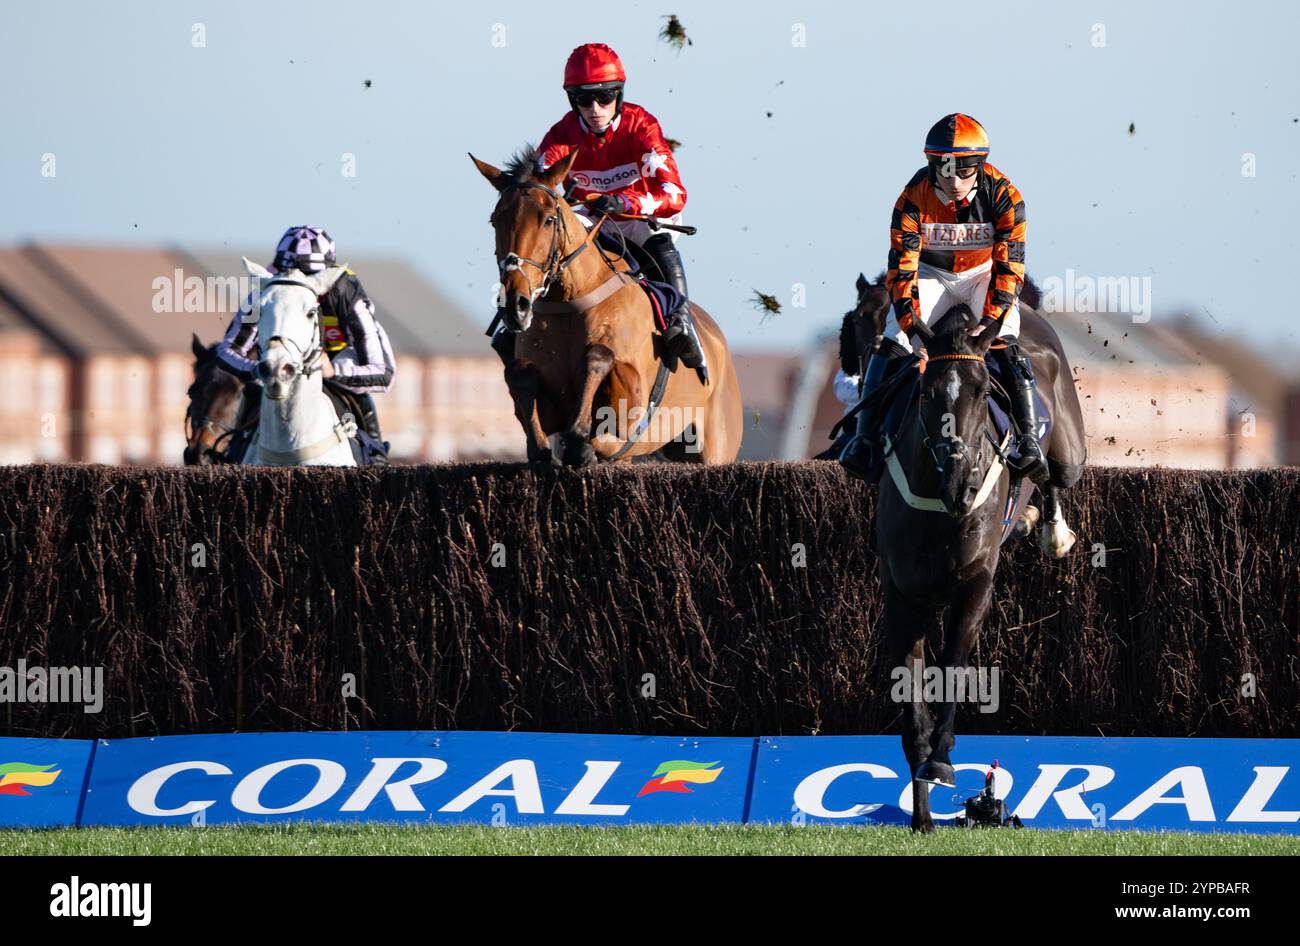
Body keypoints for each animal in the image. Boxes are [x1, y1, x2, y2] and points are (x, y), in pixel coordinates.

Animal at [475, 146, 743, 465]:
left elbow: (598, 357)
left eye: (549, 219)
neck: (569, 300)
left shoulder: (632, 402)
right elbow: (520, 375)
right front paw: (542, 447)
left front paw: (580, 437)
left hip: (716, 446)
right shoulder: (548, 405)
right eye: (495, 220)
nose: (516, 305)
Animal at [873, 306, 1086, 831]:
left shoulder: (975, 586)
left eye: (983, 391)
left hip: (1070, 453)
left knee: (1053, 476)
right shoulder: (902, 596)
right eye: (927, 392)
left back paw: (1049, 527)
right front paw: (922, 815)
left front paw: (942, 760)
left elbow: (952, 667)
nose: (962, 484)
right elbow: (912, 702)